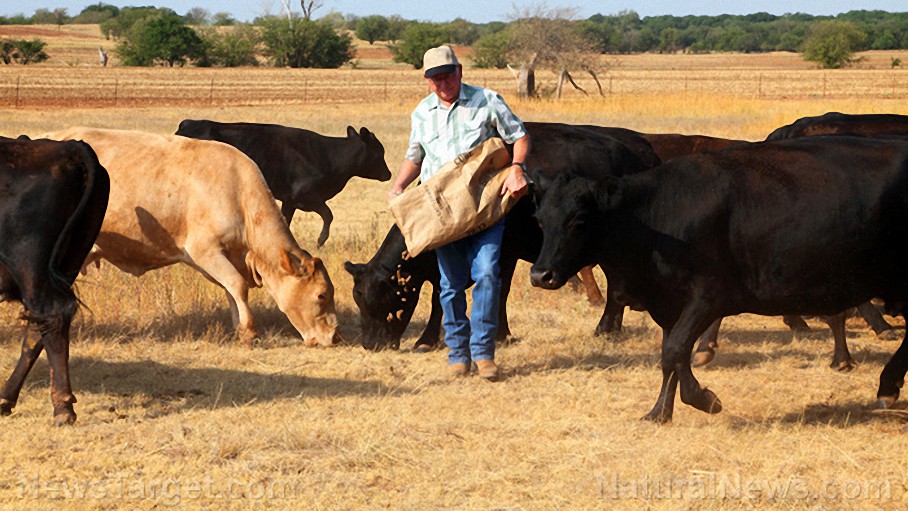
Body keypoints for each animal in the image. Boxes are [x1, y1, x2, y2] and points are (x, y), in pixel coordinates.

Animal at [0, 135, 110, 424]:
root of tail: (66, 147)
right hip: (68, 260)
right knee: (40, 326)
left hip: (30, 264)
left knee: (50, 315)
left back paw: (63, 408)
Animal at [42, 127, 336, 348]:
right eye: (321, 295)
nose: (335, 336)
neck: (238, 194)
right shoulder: (205, 250)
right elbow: (237, 285)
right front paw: (250, 331)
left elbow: (231, 289)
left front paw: (239, 328)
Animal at [176, 120, 392, 248]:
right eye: (378, 152)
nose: (388, 174)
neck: (329, 156)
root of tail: (188, 124)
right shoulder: (304, 197)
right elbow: (328, 214)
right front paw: (320, 241)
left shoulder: (291, 201)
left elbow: (286, 221)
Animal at [342, 122, 660, 350]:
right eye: (358, 300)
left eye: (380, 299)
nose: (369, 344)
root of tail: (642, 150)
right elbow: (442, 297)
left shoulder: (504, 254)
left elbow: (495, 292)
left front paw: (496, 334)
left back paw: (605, 327)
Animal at [528, 134, 908, 422]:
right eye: (540, 219)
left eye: (579, 219)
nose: (540, 274)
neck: (658, 217)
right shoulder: (669, 303)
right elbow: (671, 355)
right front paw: (660, 411)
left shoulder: (707, 297)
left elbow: (675, 351)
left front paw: (704, 398)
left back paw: (887, 387)